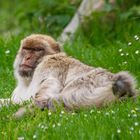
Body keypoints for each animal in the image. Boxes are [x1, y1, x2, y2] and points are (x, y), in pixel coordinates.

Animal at [0, 34, 136, 117]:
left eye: (37, 50)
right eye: (26, 49)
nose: (27, 57)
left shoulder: (48, 65)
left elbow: (46, 91)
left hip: (87, 89)